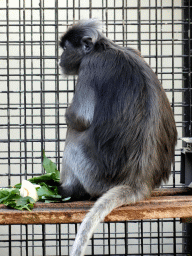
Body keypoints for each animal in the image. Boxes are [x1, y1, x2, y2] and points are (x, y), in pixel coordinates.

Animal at [58, 19, 177, 255]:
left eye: (66, 48)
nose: (60, 60)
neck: (105, 47)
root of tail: (138, 181)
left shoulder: (91, 65)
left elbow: (79, 118)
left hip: (94, 176)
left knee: (75, 135)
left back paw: (68, 190)